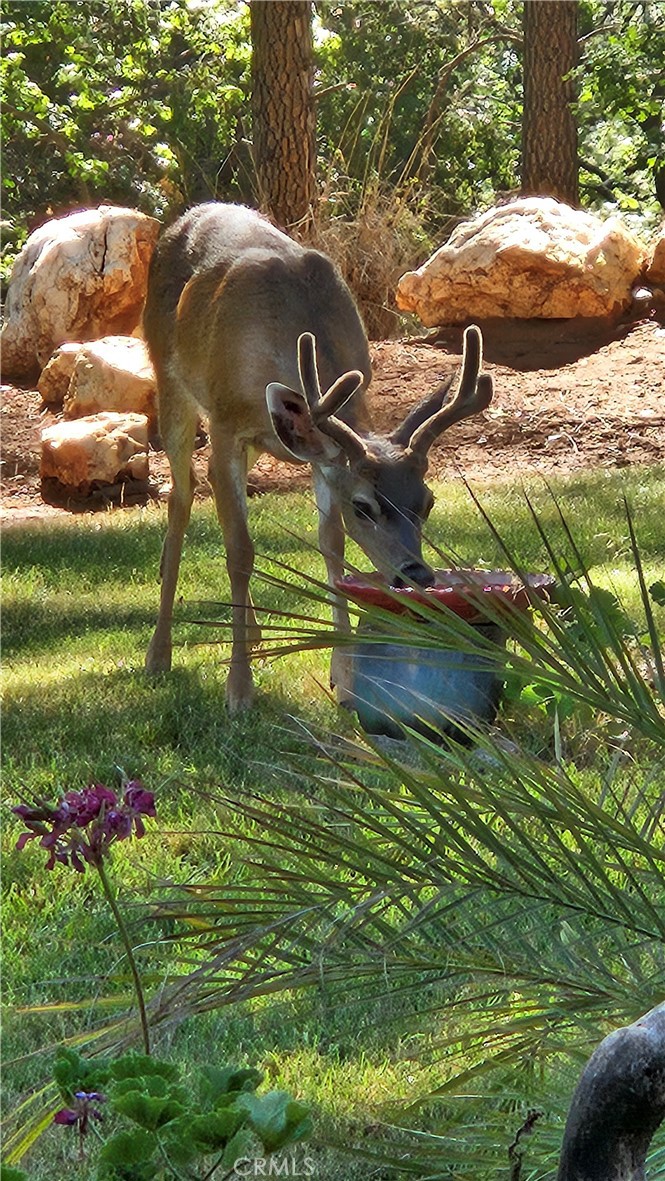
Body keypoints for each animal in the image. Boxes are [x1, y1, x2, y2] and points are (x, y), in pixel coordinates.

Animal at [142, 205, 491, 708]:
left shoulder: (322, 459)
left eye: (426, 502)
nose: (417, 575)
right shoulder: (226, 424)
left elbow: (331, 546)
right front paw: (239, 689)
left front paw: (343, 676)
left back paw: (254, 634)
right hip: (170, 382)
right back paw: (159, 653)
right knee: (181, 497)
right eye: (363, 506)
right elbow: (240, 551)